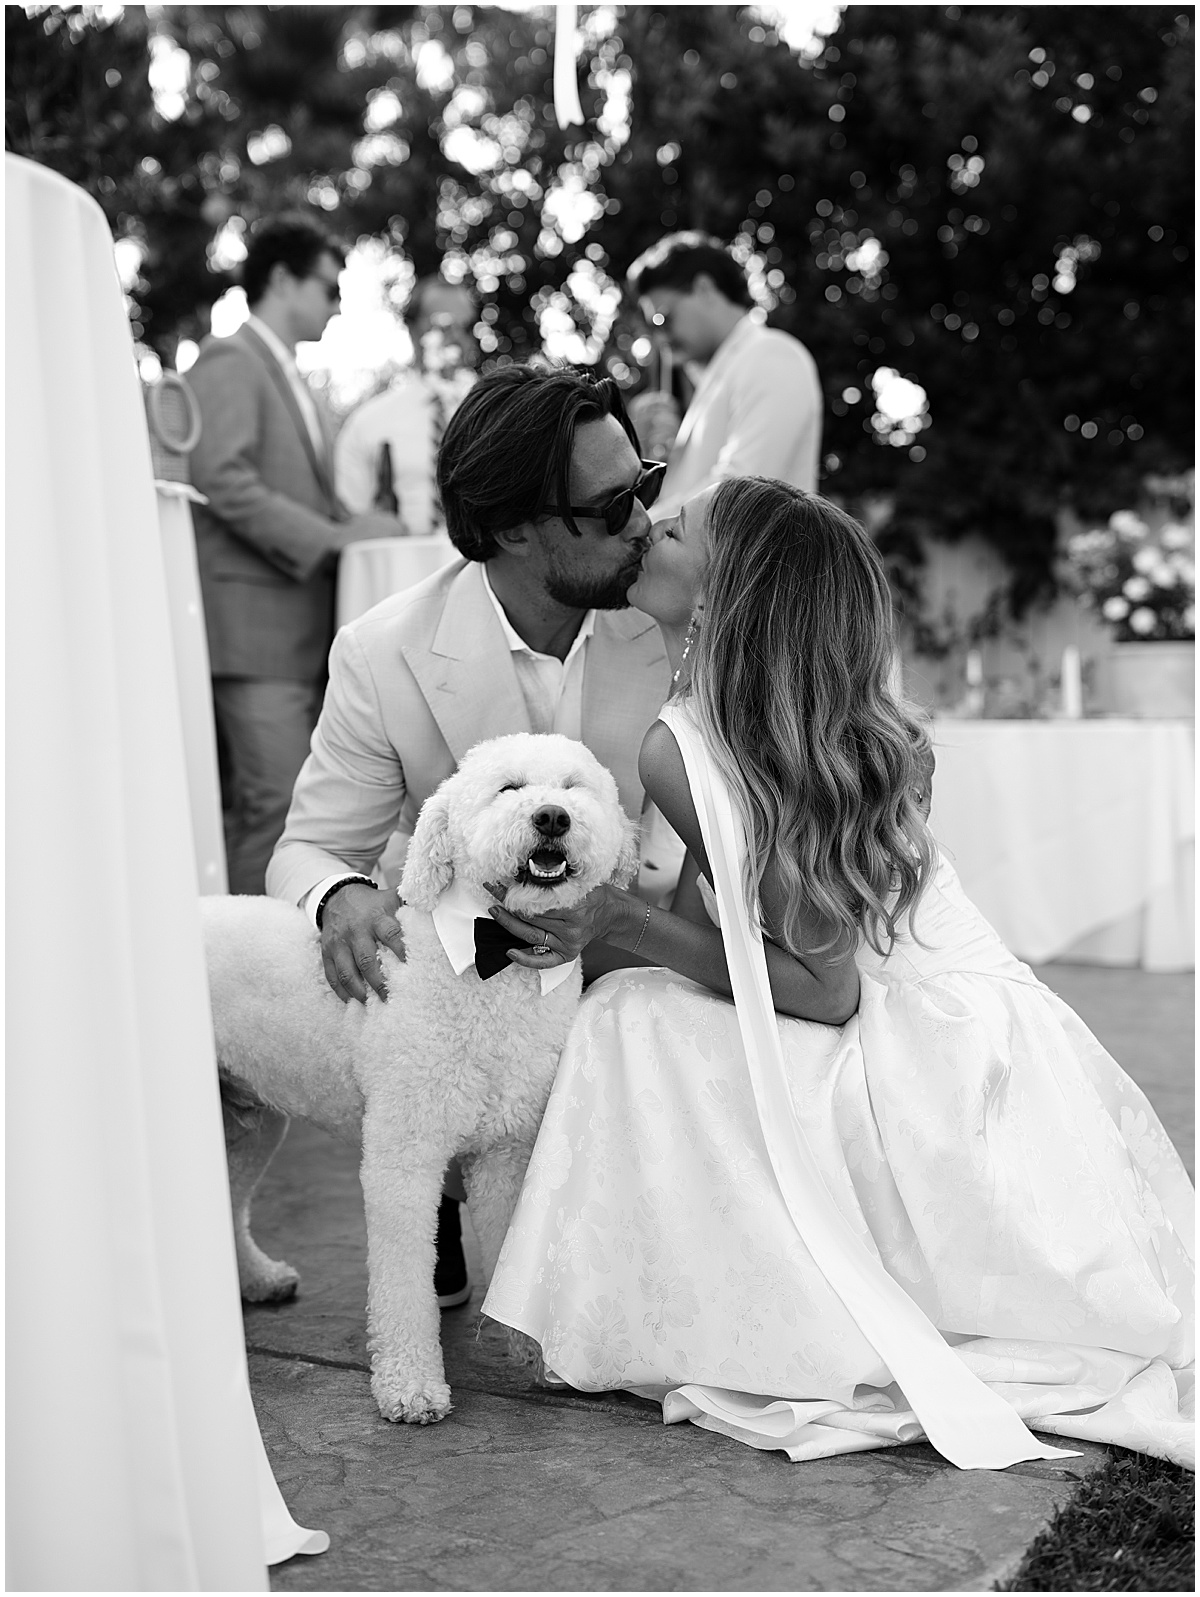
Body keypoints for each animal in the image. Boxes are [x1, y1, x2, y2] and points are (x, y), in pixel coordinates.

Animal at [202, 731, 642, 1424]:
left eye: (574, 788)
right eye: (508, 788)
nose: (553, 818)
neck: (490, 966)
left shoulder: (508, 1150)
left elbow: (512, 1238)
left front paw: (528, 1347)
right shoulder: (402, 1157)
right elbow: (403, 1282)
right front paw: (409, 1387)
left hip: (248, 1122)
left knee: (233, 1198)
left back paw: (256, 1278)